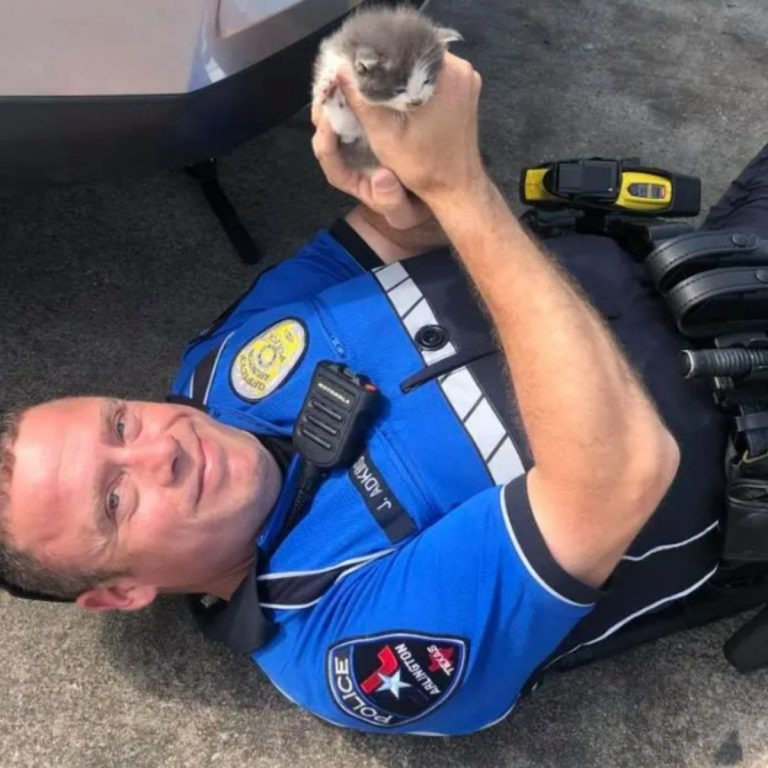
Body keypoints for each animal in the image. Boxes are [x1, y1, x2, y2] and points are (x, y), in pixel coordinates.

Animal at [312, 4, 462, 172]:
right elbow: (344, 126)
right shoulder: (349, 136)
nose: (417, 102)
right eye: (399, 90)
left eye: (427, 81)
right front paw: (330, 90)